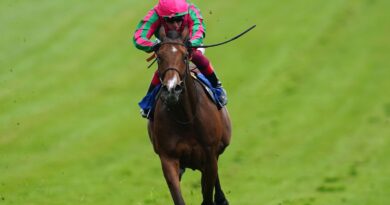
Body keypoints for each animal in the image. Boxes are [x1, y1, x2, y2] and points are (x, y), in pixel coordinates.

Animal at [146, 27, 232, 205]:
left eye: (184, 56)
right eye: (159, 57)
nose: (172, 89)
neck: (185, 118)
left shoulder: (209, 155)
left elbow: (208, 195)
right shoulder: (168, 158)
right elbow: (178, 196)